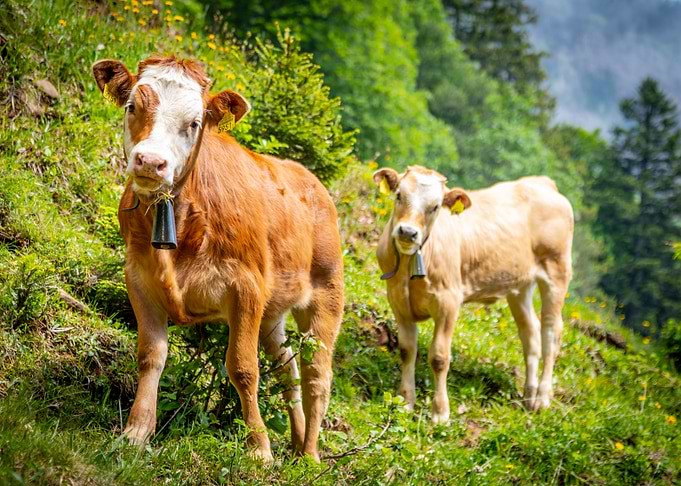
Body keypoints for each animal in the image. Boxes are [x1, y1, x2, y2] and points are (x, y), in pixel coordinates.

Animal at [92, 55, 344, 462]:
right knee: (287, 369)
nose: (150, 162)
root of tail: (307, 177)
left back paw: (309, 454)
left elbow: (242, 368)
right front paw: (136, 431)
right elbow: (150, 355)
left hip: (326, 296)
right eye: (132, 106)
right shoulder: (139, 278)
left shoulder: (246, 287)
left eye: (195, 123)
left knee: (316, 376)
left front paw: (258, 449)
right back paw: (295, 440)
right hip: (273, 313)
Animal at [374, 166, 573, 423]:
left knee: (551, 331)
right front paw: (405, 401)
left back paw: (542, 398)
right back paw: (529, 396)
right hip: (520, 285)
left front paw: (440, 413)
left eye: (435, 207)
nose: (408, 232)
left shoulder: (448, 302)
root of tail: (542, 182)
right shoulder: (398, 300)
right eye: (399, 195)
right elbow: (407, 350)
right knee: (531, 333)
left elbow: (439, 357)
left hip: (556, 271)